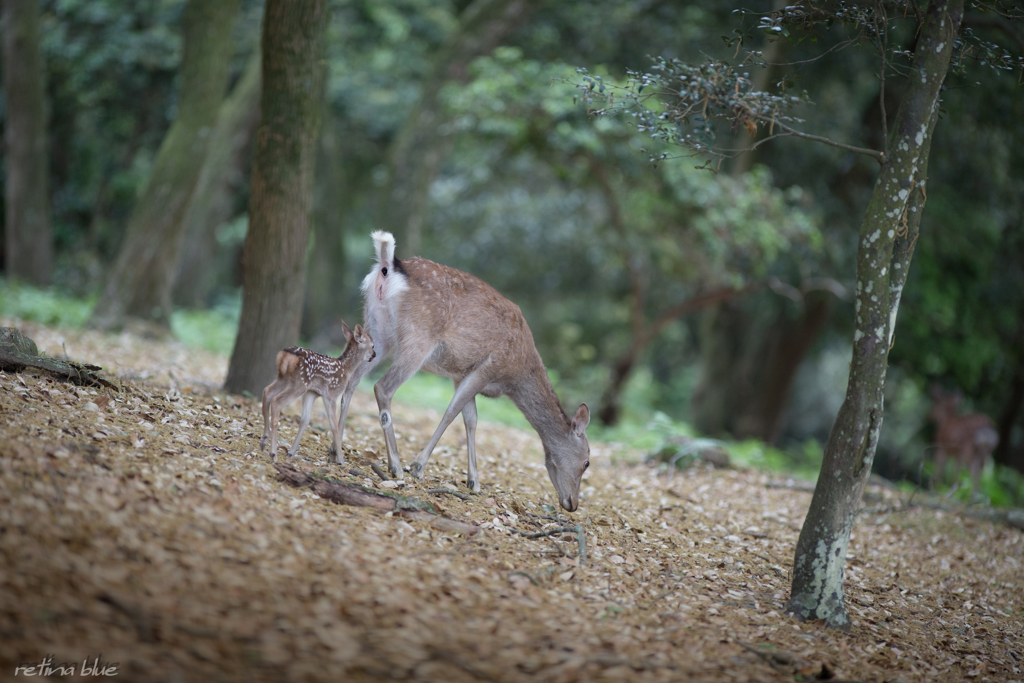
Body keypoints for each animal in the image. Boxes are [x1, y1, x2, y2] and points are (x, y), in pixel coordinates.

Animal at [260, 323, 376, 462]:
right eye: (373, 345)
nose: (374, 354)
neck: (347, 369)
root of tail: (285, 355)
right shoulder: (332, 393)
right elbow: (334, 425)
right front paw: (340, 460)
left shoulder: (312, 392)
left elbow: (305, 420)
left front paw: (291, 453)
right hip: (300, 382)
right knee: (277, 401)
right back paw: (273, 453)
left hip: (284, 378)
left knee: (267, 391)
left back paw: (264, 441)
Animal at [335, 232, 593, 509]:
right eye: (587, 462)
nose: (572, 504)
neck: (515, 376)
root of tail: (388, 265)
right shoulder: (488, 367)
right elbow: (452, 411)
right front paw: (418, 466)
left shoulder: (461, 374)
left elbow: (471, 420)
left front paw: (474, 482)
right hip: (418, 337)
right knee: (383, 387)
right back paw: (396, 465)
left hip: (376, 331)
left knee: (352, 380)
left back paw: (336, 450)